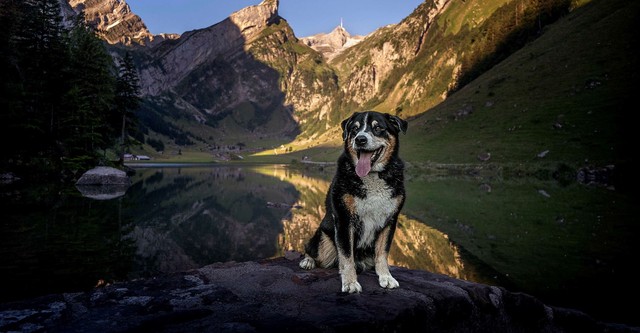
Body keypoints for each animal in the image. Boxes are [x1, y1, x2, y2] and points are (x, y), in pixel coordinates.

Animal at [298, 110, 408, 292]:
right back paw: (307, 261)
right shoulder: (344, 219)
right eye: (355, 129)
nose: (360, 139)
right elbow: (346, 256)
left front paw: (386, 277)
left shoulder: (390, 221)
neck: (372, 176)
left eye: (378, 127)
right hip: (324, 240)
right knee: (311, 249)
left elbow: (382, 253)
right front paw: (350, 282)